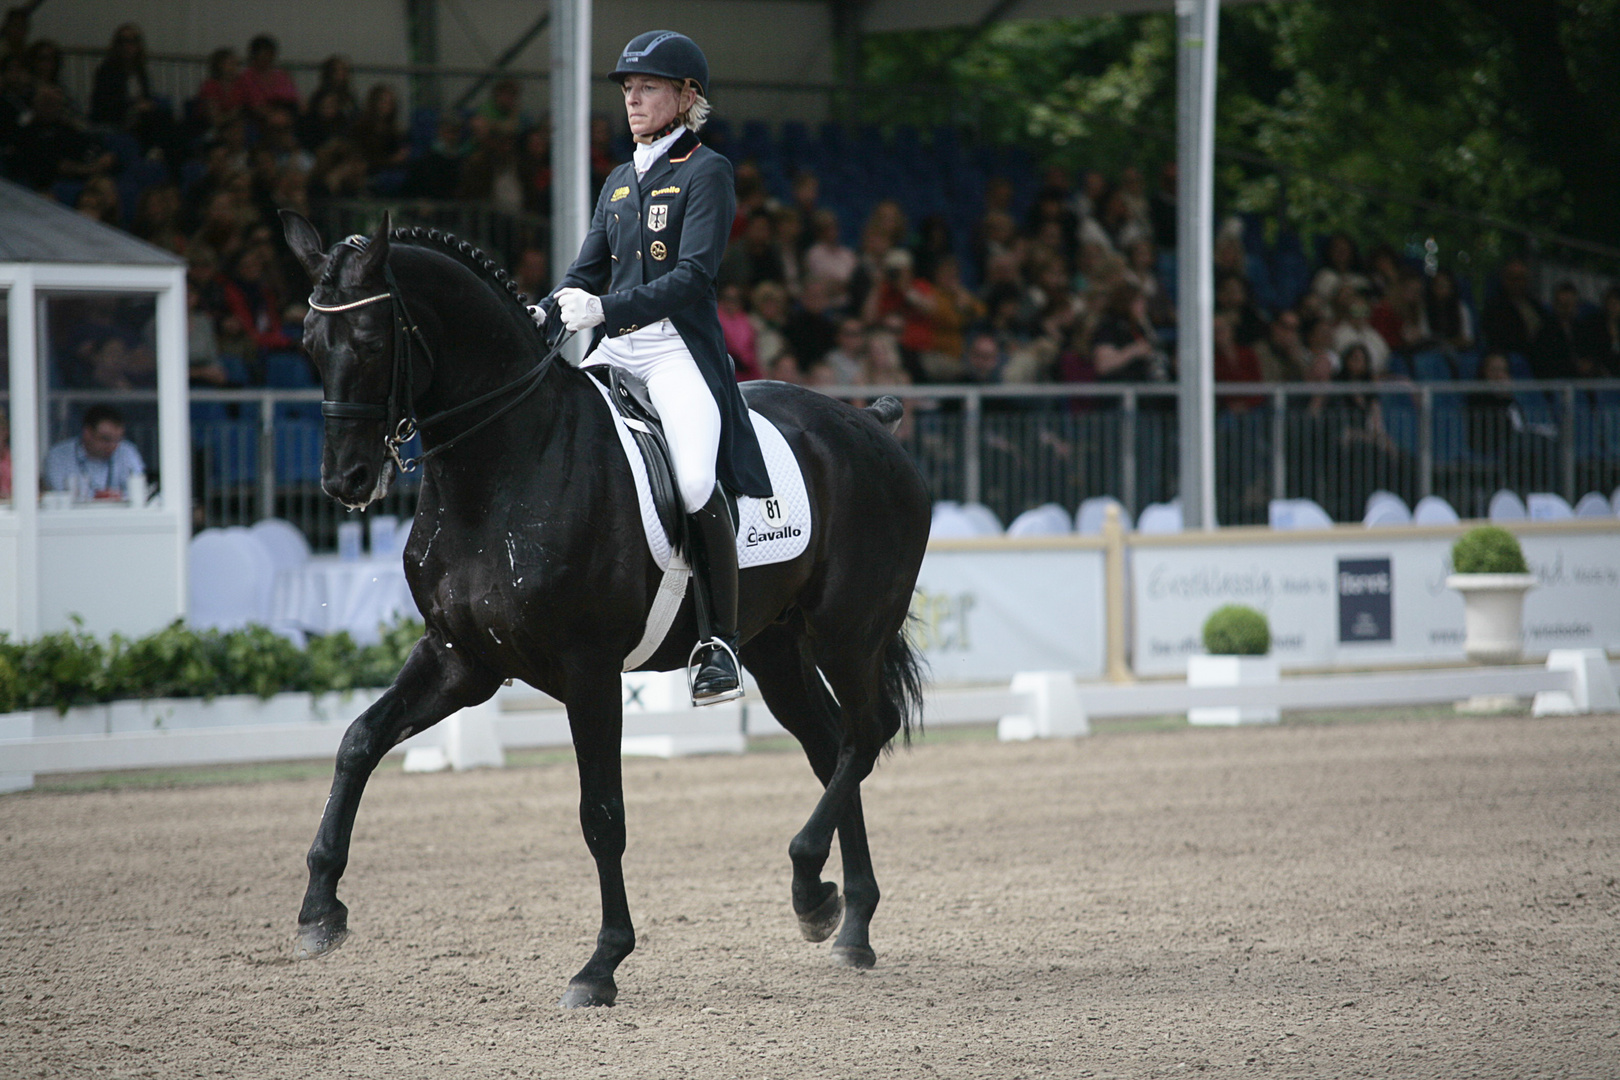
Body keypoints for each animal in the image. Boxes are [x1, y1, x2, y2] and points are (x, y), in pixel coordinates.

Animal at [285, 210, 933, 1003]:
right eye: (309, 346)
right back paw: (848, 923)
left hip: (850, 632)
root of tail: (872, 424)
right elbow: (358, 741)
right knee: (831, 744)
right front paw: (320, 908)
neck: (503, 467)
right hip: (776, 648)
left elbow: (601, 814)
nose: (344, 481)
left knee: (868, 733)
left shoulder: (587, 670)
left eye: (373, 342)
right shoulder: (461, 659)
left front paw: (602, 964)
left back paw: (812, 884)